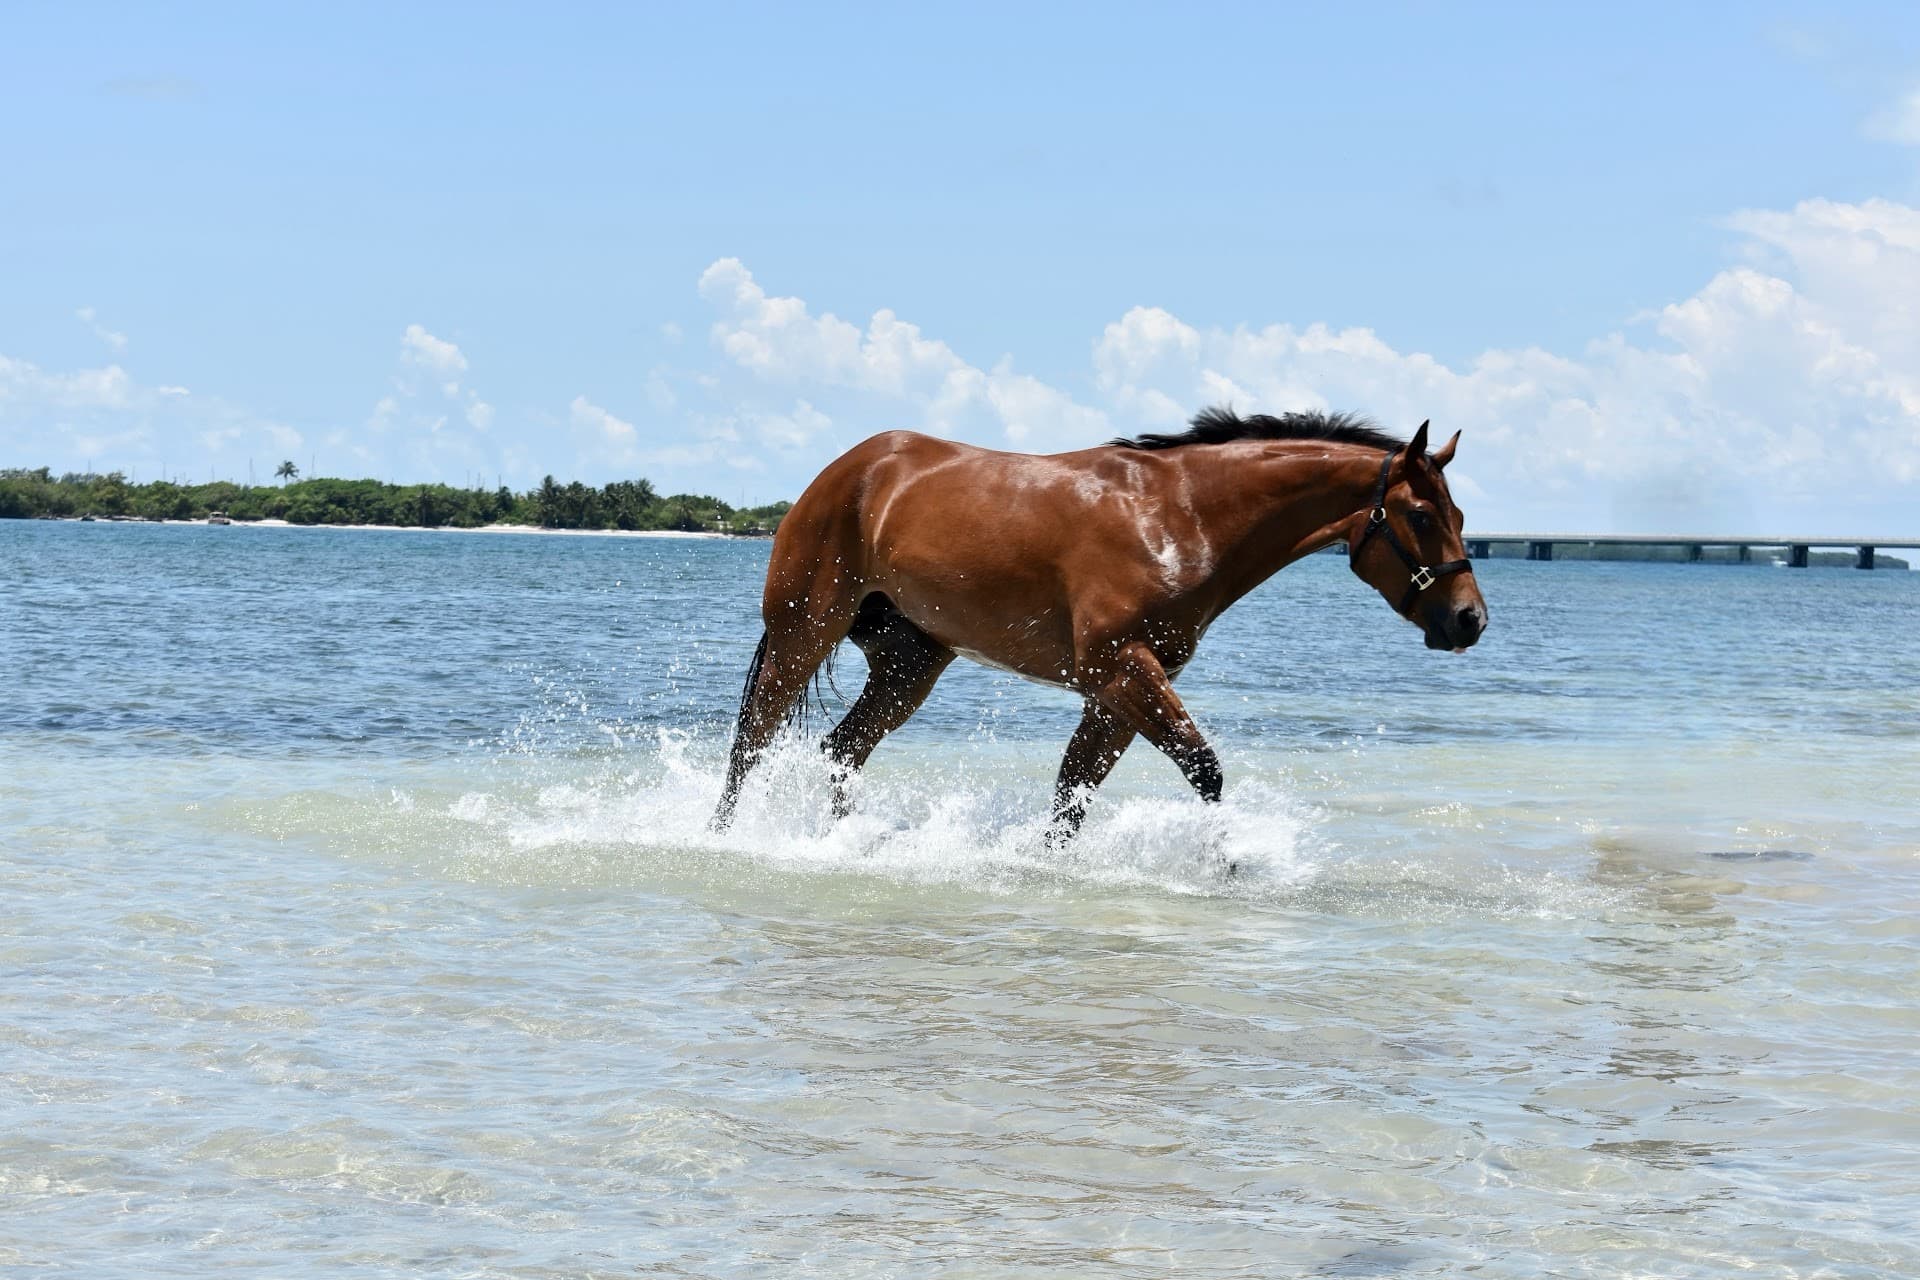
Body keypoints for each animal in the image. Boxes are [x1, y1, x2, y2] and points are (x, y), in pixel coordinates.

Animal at [710, 406, 1488, 839]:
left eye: (1460, 514)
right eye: (1423, 515)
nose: (1470, 620)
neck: (1180, 514)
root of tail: (851, 468)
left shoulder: (1117, 694)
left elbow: (1071, 797)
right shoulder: (1120, 669)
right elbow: (1205, 772)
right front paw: (1231, 862)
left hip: (913, 663)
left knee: (842, 750)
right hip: (804, 633)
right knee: (752, 741)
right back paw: (721, 838)